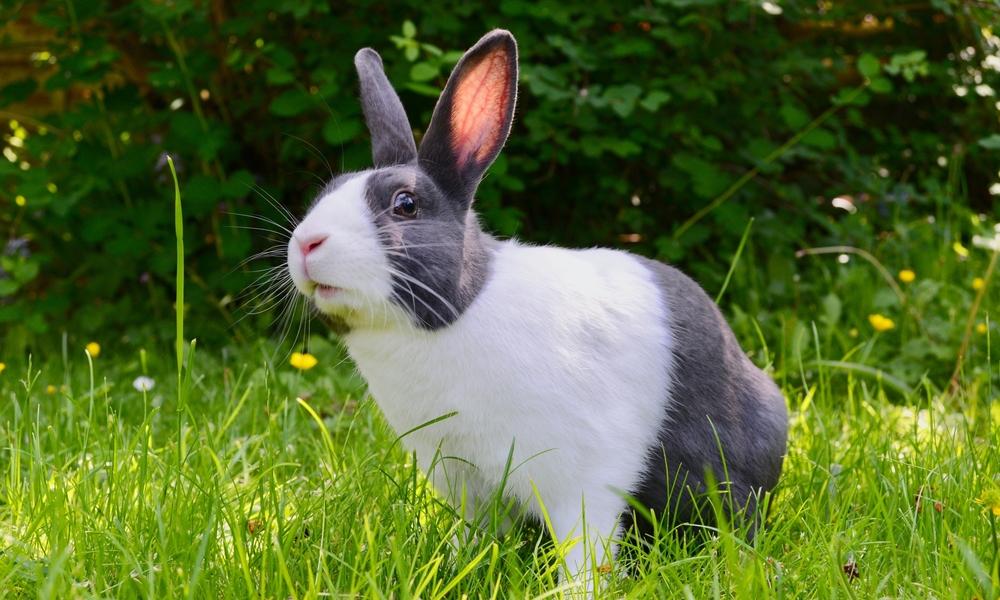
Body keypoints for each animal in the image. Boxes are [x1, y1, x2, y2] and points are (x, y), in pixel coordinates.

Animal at [288, 30, 788, 588]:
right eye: (327, 192)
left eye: (405, 205)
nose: (306, 243)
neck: (456, 315)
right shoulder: (461, 475)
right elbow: (474, 532)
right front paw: (458, 566)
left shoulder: (581, 474)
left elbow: (586, 541)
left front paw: (578, 590)